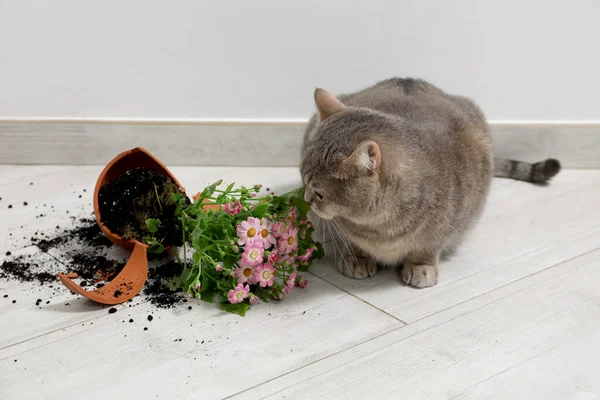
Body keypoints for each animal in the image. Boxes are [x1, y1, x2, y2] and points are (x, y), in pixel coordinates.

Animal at [302, 77, 560, 288]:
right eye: (304, 180)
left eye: (320, 193)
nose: (306, 200)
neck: (379, 227)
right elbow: (352, 242)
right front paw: (357, 257)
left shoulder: (446, 225)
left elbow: (426, 248)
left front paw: (421, 268)